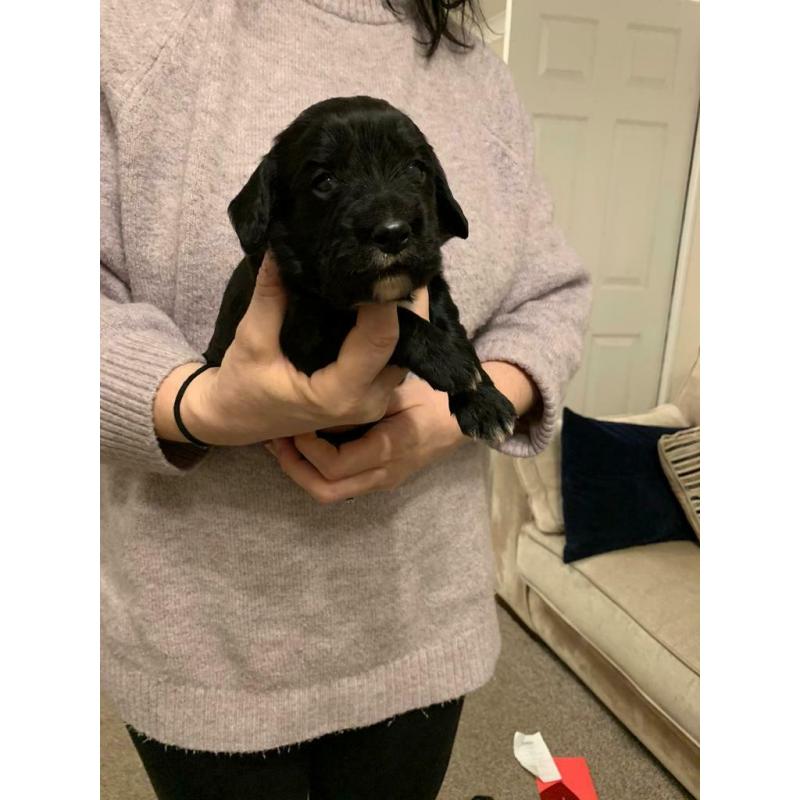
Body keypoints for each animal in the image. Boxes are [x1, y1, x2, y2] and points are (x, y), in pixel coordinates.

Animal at [206, 96, 516, 444]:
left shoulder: (434, 286)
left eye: (416, 168)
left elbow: (451, 325)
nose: (393, 233)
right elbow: (381, 321)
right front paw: (447, 360)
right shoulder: (308, 337)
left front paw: (483, 400)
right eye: (324, 181)